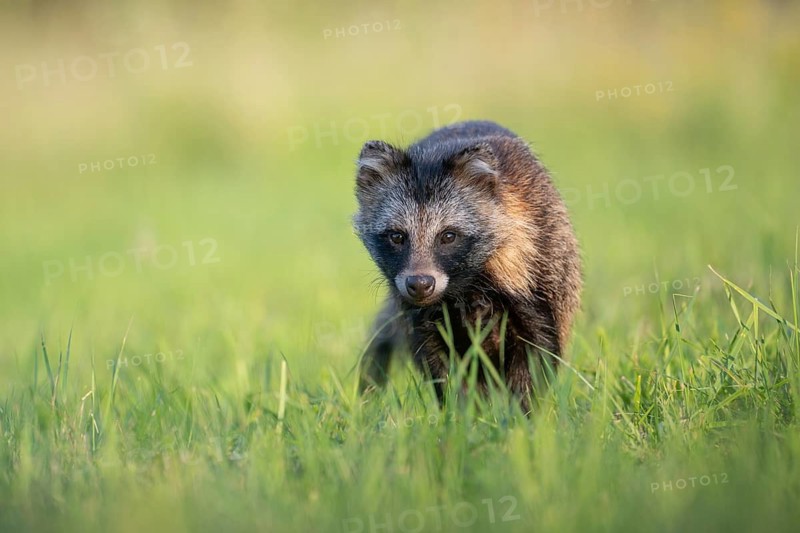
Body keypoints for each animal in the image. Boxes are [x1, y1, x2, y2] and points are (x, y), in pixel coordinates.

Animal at [353, 120, 582, 411]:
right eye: (397, 236)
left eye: (448, 236)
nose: (420, 284)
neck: (464, 286)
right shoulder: (421, 319)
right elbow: (440, 367)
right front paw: (460, 414)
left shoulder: (536, 282)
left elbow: (537, 356)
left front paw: (523, 414)